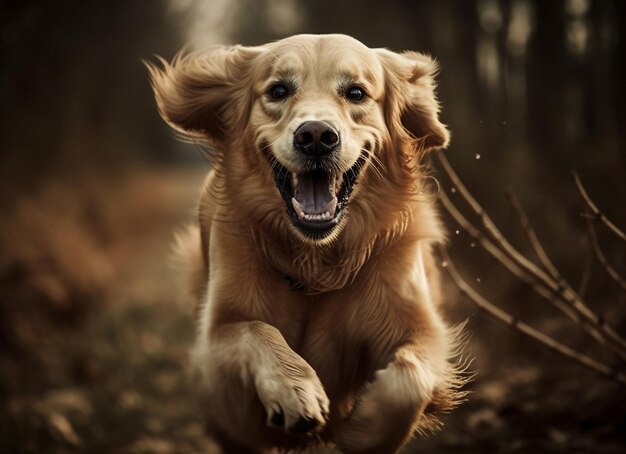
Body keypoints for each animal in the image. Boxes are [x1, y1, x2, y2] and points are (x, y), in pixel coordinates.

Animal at [146, 33, 464, 452]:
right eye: (279, 90)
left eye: (356, 92)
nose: (315, 136)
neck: (316, 263)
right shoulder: (215, 350)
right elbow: (254, 330)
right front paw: (295, 390)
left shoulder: (422, 328)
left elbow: (408, 378)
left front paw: (364, 430)